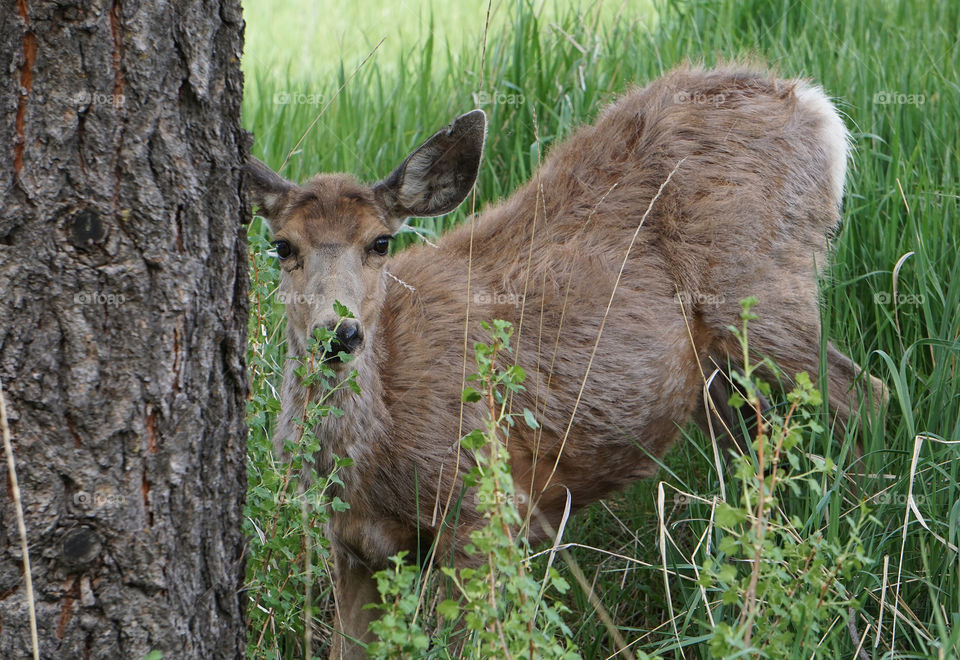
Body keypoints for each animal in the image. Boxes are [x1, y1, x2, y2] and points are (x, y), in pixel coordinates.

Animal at [244, 64, 888, 658]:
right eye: (282, 246)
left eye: (380, 242)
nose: (339, 332)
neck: (375, 445)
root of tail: (812, 104)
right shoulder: (355, 545)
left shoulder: (483, 503)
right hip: (715, 369)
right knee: (753, 454)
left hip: (763, 296)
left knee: (868, 398)